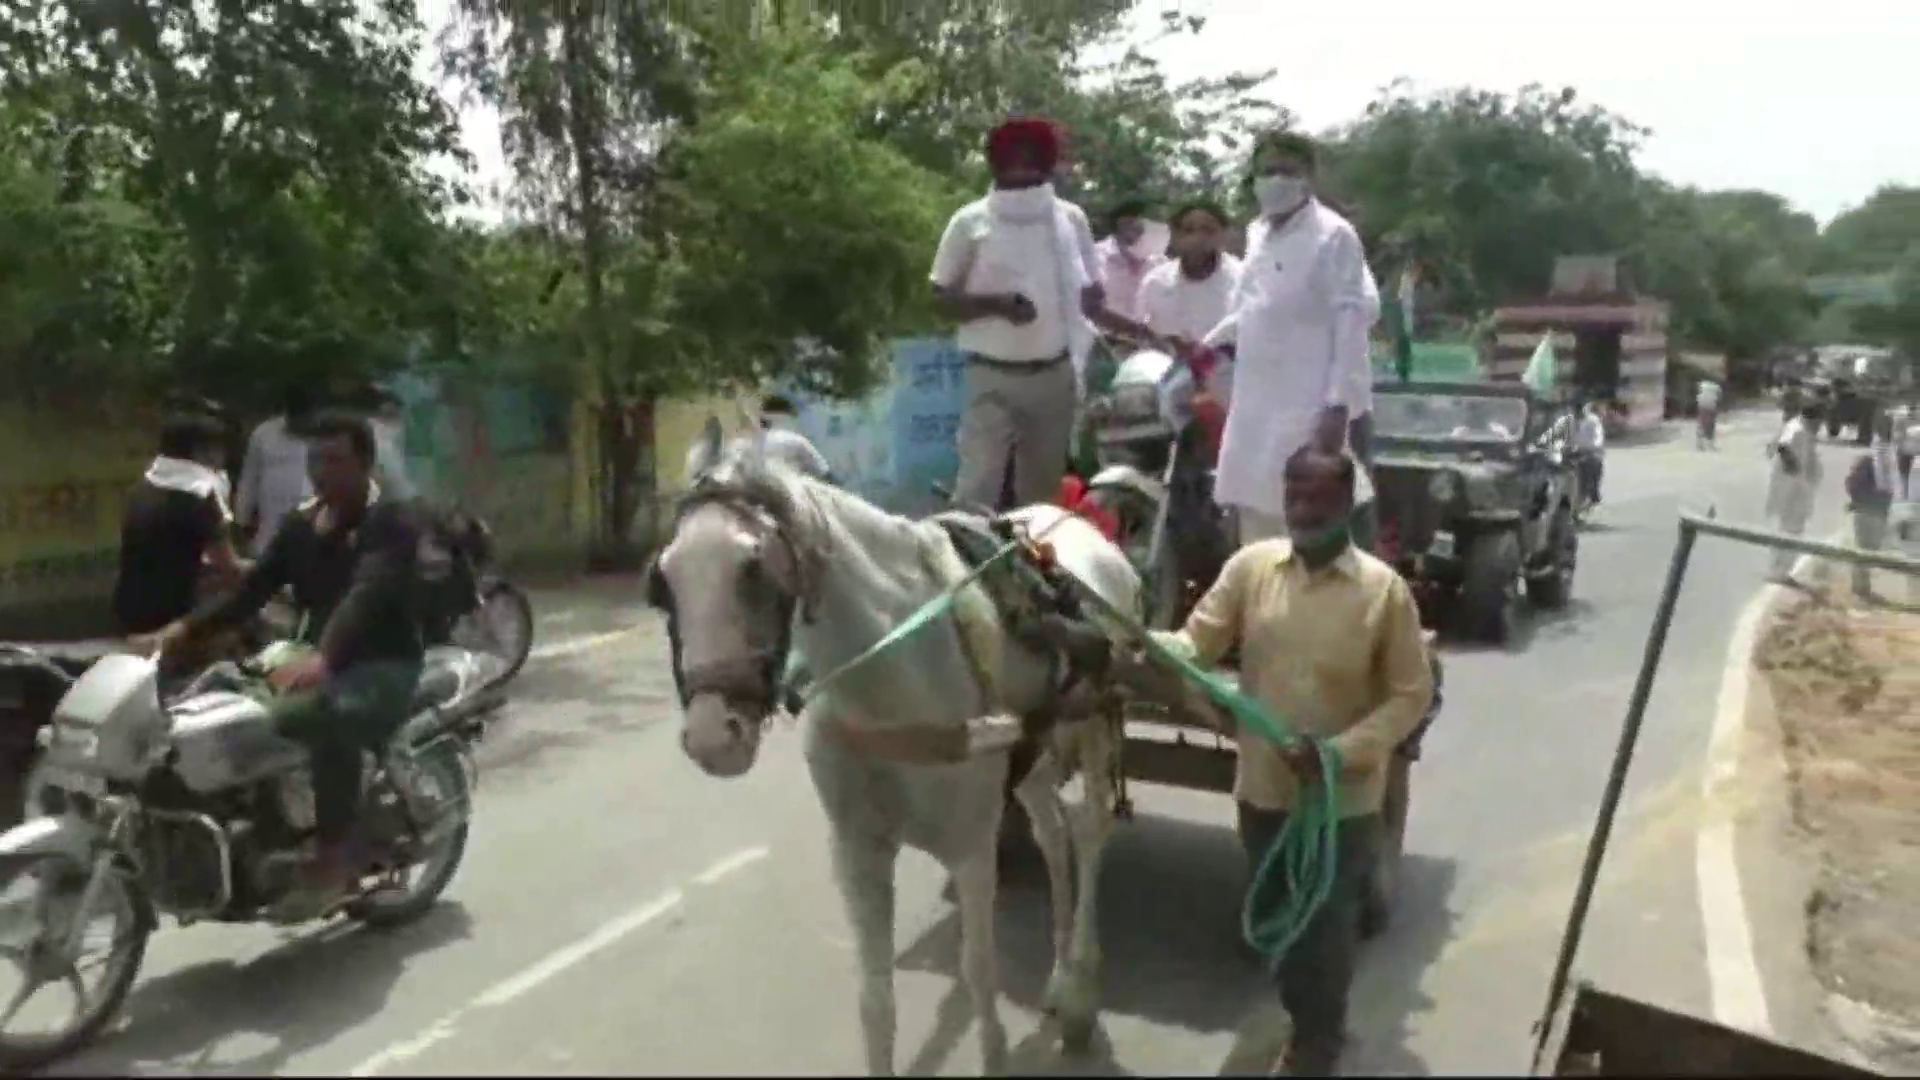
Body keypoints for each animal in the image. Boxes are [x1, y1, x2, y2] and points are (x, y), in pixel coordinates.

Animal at [652, 426, 1136, 1068]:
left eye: (754, 568)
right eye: (663, 582)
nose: (713, 735)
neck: (893, 670)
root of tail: (1088, 532)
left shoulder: (972, 845)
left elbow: (979, 970)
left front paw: (994, 1053)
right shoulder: (857, 851)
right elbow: (874, 1002)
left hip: (1097, 724)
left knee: (1092, 830)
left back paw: (1080, 982)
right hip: (1034, 748)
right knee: (1054, 838)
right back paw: (1059, 977)